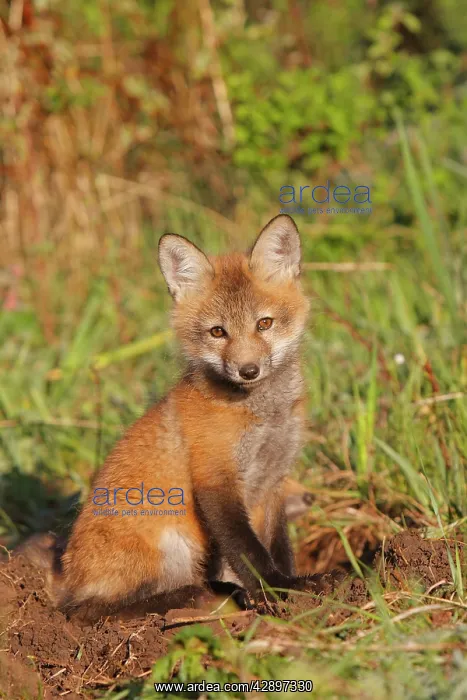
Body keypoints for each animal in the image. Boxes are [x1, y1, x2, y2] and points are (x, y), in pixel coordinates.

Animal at [21, 214, 318, 619]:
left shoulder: (273, 481)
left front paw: (290, 585)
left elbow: (278, 547)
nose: (248, 371)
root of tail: (66, 575)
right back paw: (193, 596)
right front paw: (276, 591)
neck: (263, 416)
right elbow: (248, 550)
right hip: (171, 544)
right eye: (218, 332)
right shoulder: (215, 479)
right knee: (89, 611)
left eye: (264, 324)